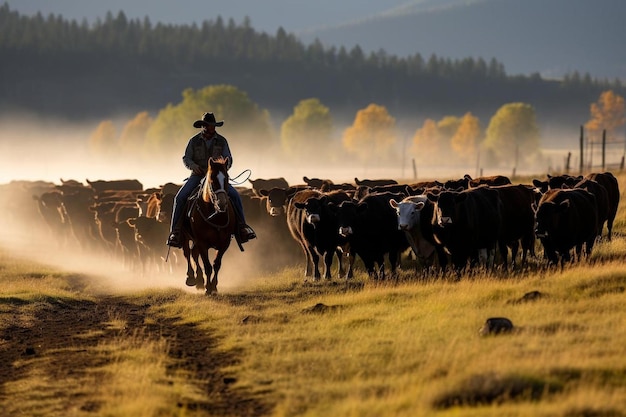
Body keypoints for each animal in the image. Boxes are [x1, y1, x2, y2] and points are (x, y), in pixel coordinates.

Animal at [183, 155, 239, 292]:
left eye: (227, 178)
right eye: (212, 180)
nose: (222, 203)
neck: (215, 216)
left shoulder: (225, 242)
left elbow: (216, 264)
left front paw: (213, 286)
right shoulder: (202, 242)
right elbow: (207, 265)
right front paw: (208, 288)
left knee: (194, 253)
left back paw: (199, 280)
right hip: (185, 236)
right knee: (187, 253)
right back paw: (191, 278)